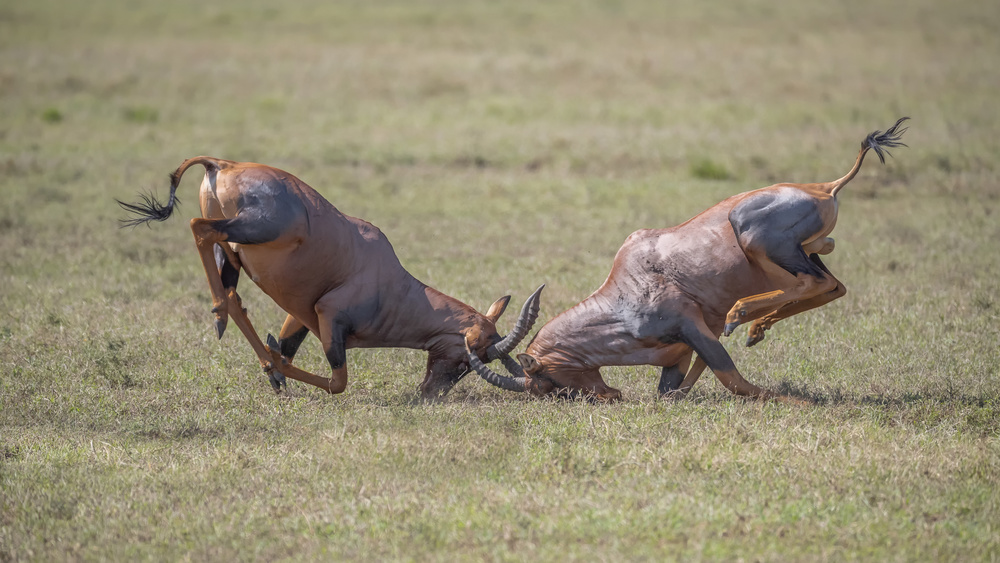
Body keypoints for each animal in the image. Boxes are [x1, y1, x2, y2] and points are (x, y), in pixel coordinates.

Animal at [120, 156, 544, 398]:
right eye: (467, 359)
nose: (428, 394)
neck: (386, 276)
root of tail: (223, 165)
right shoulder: (330, 319)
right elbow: (338, 384)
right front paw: (276, 369)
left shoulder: (303, 314)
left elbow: (287, 345)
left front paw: (275, 371)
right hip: (252, 230)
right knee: (199, 228)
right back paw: (222, 315)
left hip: (235, 252)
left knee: (232, 286)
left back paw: (231, 322)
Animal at [464, 117, 912, 404]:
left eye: (544, 381)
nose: (611, 396)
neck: (625, 286)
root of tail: (823, 188)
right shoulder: (684, 350)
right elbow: (675, 391)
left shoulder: (690, 325)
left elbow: (731, 378)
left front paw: (797, 402)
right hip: (809, 251)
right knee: (833, 285)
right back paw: (756, 327)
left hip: (757, 239)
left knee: (812, 283)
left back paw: (741, 315)